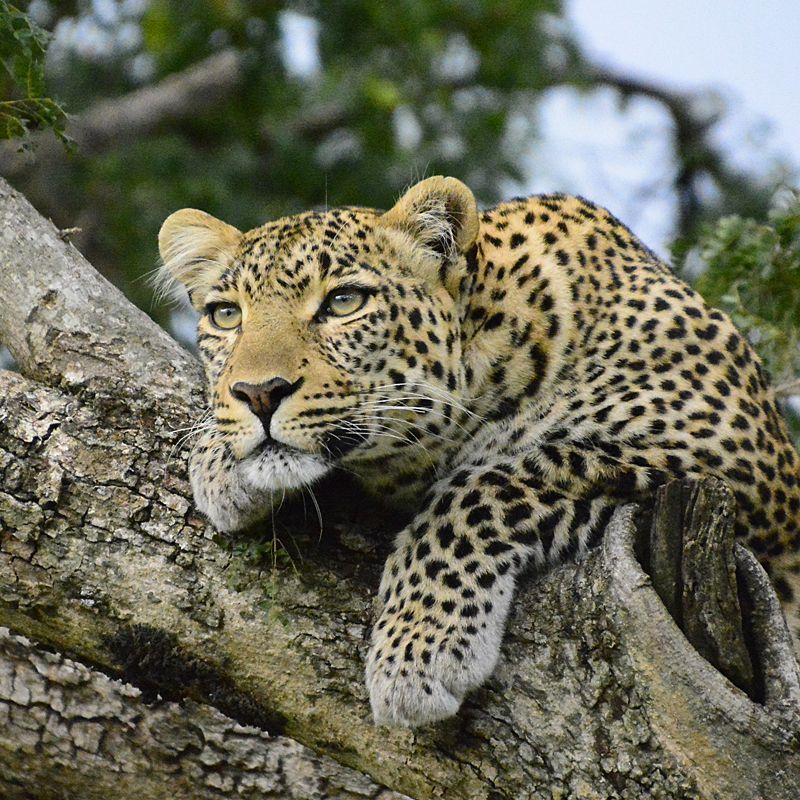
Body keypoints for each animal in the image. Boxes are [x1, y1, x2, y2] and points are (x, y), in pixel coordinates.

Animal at [158, 176, 800, 728]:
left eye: (344, 301)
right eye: (225, 315)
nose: (258, 393)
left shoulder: (733, 473)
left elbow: (490, 481)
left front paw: (419, 650)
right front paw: (218, 458)